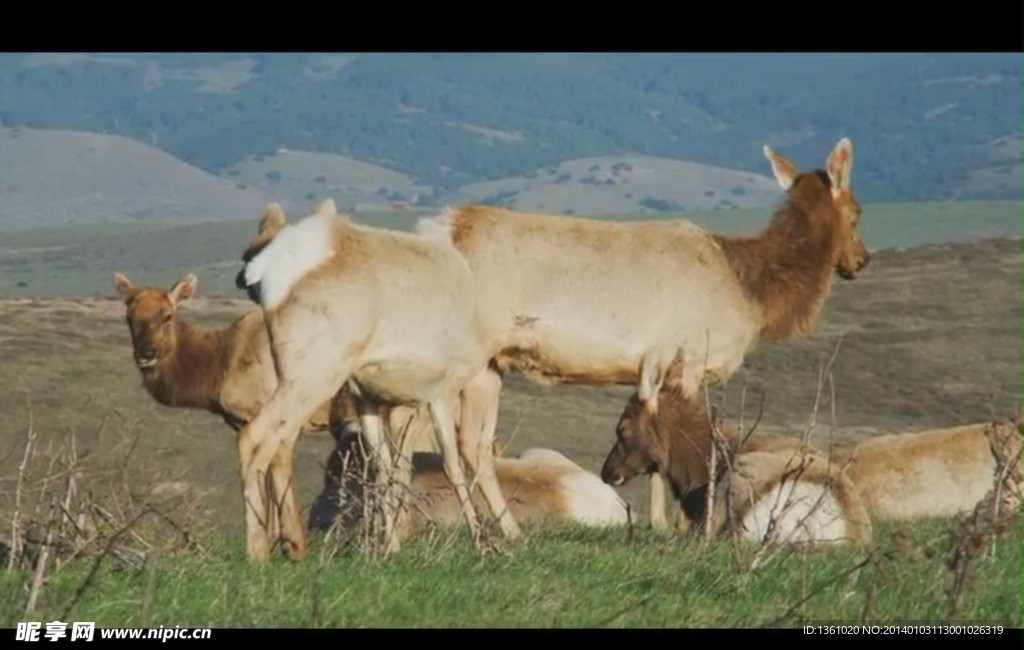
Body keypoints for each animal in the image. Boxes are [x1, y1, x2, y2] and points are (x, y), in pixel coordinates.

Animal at [423, 136, 864, 528]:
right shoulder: (692, 356)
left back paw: (502, 532)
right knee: (443, 425)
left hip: (491, 364)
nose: (861, 260)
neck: (750, 296)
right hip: (465, 347)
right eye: (857, 211)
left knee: (474, 443)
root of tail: (444, 230)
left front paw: (660, 523)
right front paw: (678, 523)